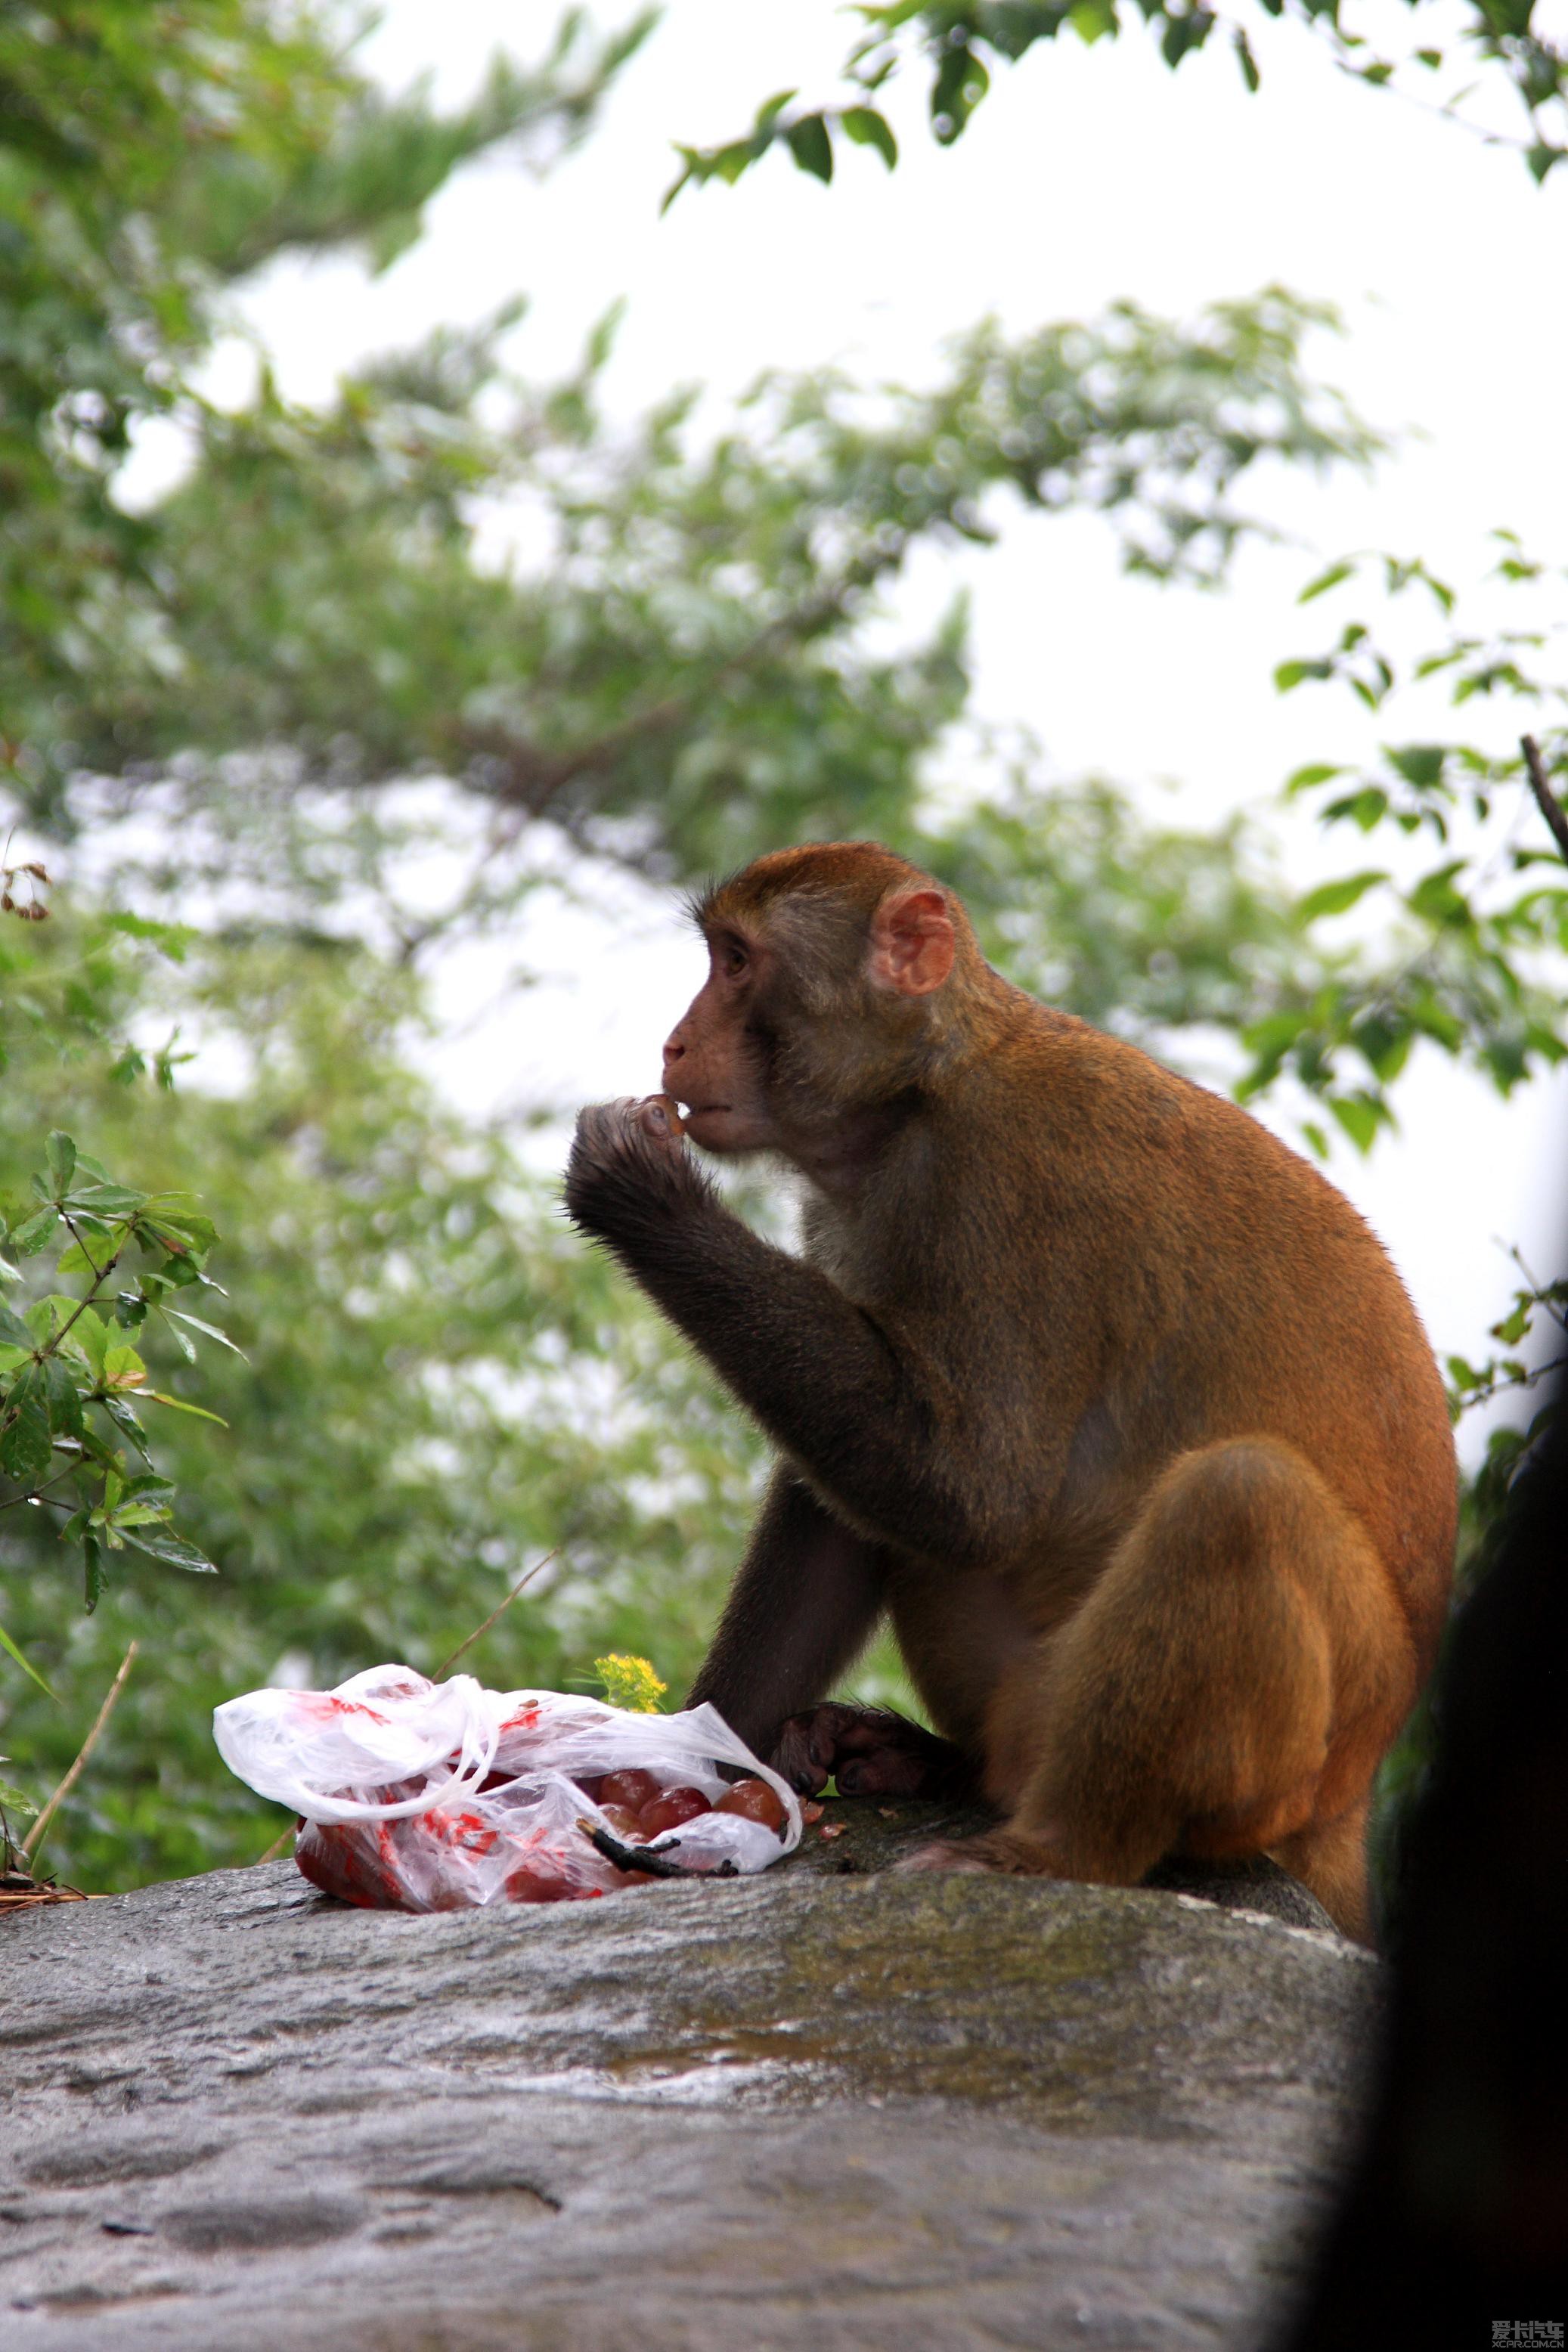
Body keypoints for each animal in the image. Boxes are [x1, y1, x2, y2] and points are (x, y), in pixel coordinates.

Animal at [564, 837, 1457, 1938]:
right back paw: (939, 1763)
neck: (922, 1093)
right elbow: (864, 1486)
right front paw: (686, 1760)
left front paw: (640, 1190)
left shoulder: (1016, 1179)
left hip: (1288, 1771)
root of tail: (1350, 1803)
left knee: (1237, 1496)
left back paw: (1055, 1851)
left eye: (735, 962)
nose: (677, 1043)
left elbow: (972, 1493)